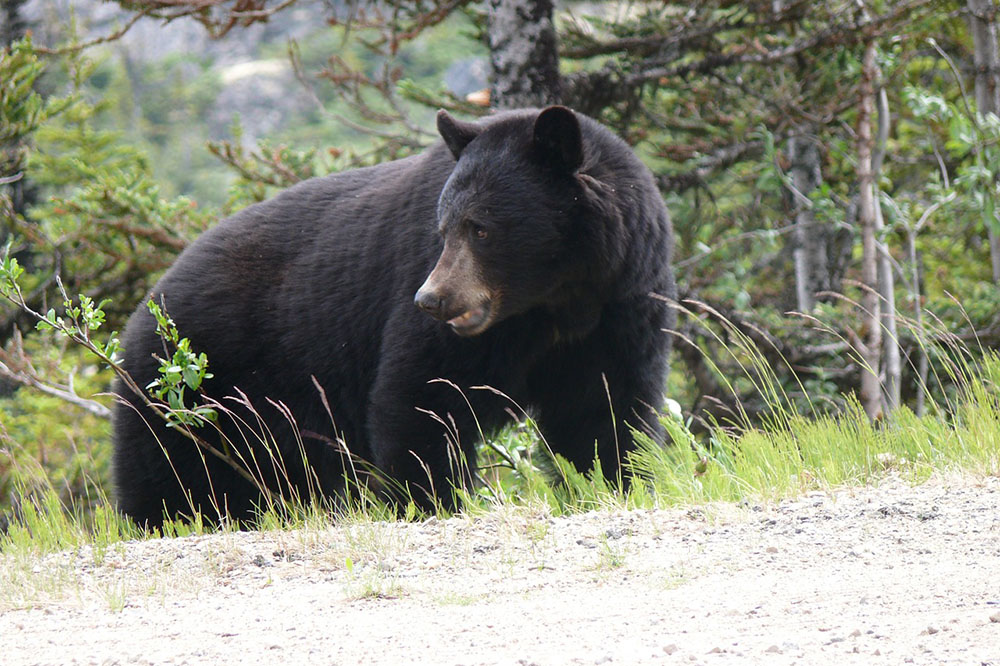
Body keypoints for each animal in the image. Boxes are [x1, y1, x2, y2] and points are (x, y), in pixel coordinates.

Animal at [113, 106, 676, 528]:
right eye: (443, 227)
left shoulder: (620, 308)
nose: (431, 299)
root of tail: (144, 308)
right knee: (171, 475)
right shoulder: (448, 324)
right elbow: (421, 397)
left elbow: (603, 409)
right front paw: (432, 500)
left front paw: (613, 481)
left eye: (482, 228)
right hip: (188, 390)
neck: (554, 303)